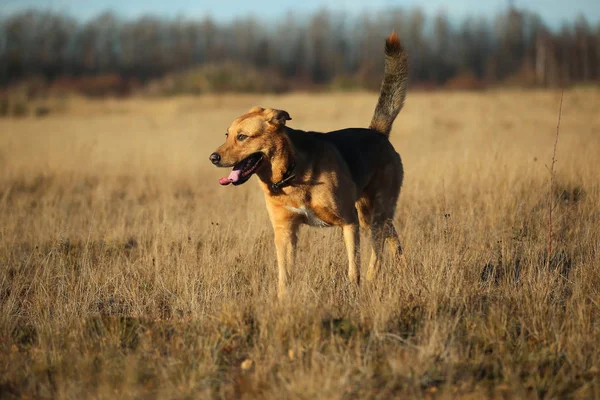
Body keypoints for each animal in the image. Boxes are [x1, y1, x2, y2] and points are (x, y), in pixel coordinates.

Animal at [210, 33, 408, 296]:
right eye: (227, 135)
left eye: (242, 137)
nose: (213, 158)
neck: (290, 174)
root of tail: (378, 133)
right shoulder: (285, 231)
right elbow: (285, 277)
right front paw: (283, 301)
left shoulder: (349, 222)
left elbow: (352, 267)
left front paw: (353, 292)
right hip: (373, 216)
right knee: (393, 239)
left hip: (373, 214)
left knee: (379, 251)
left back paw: (373, 279)